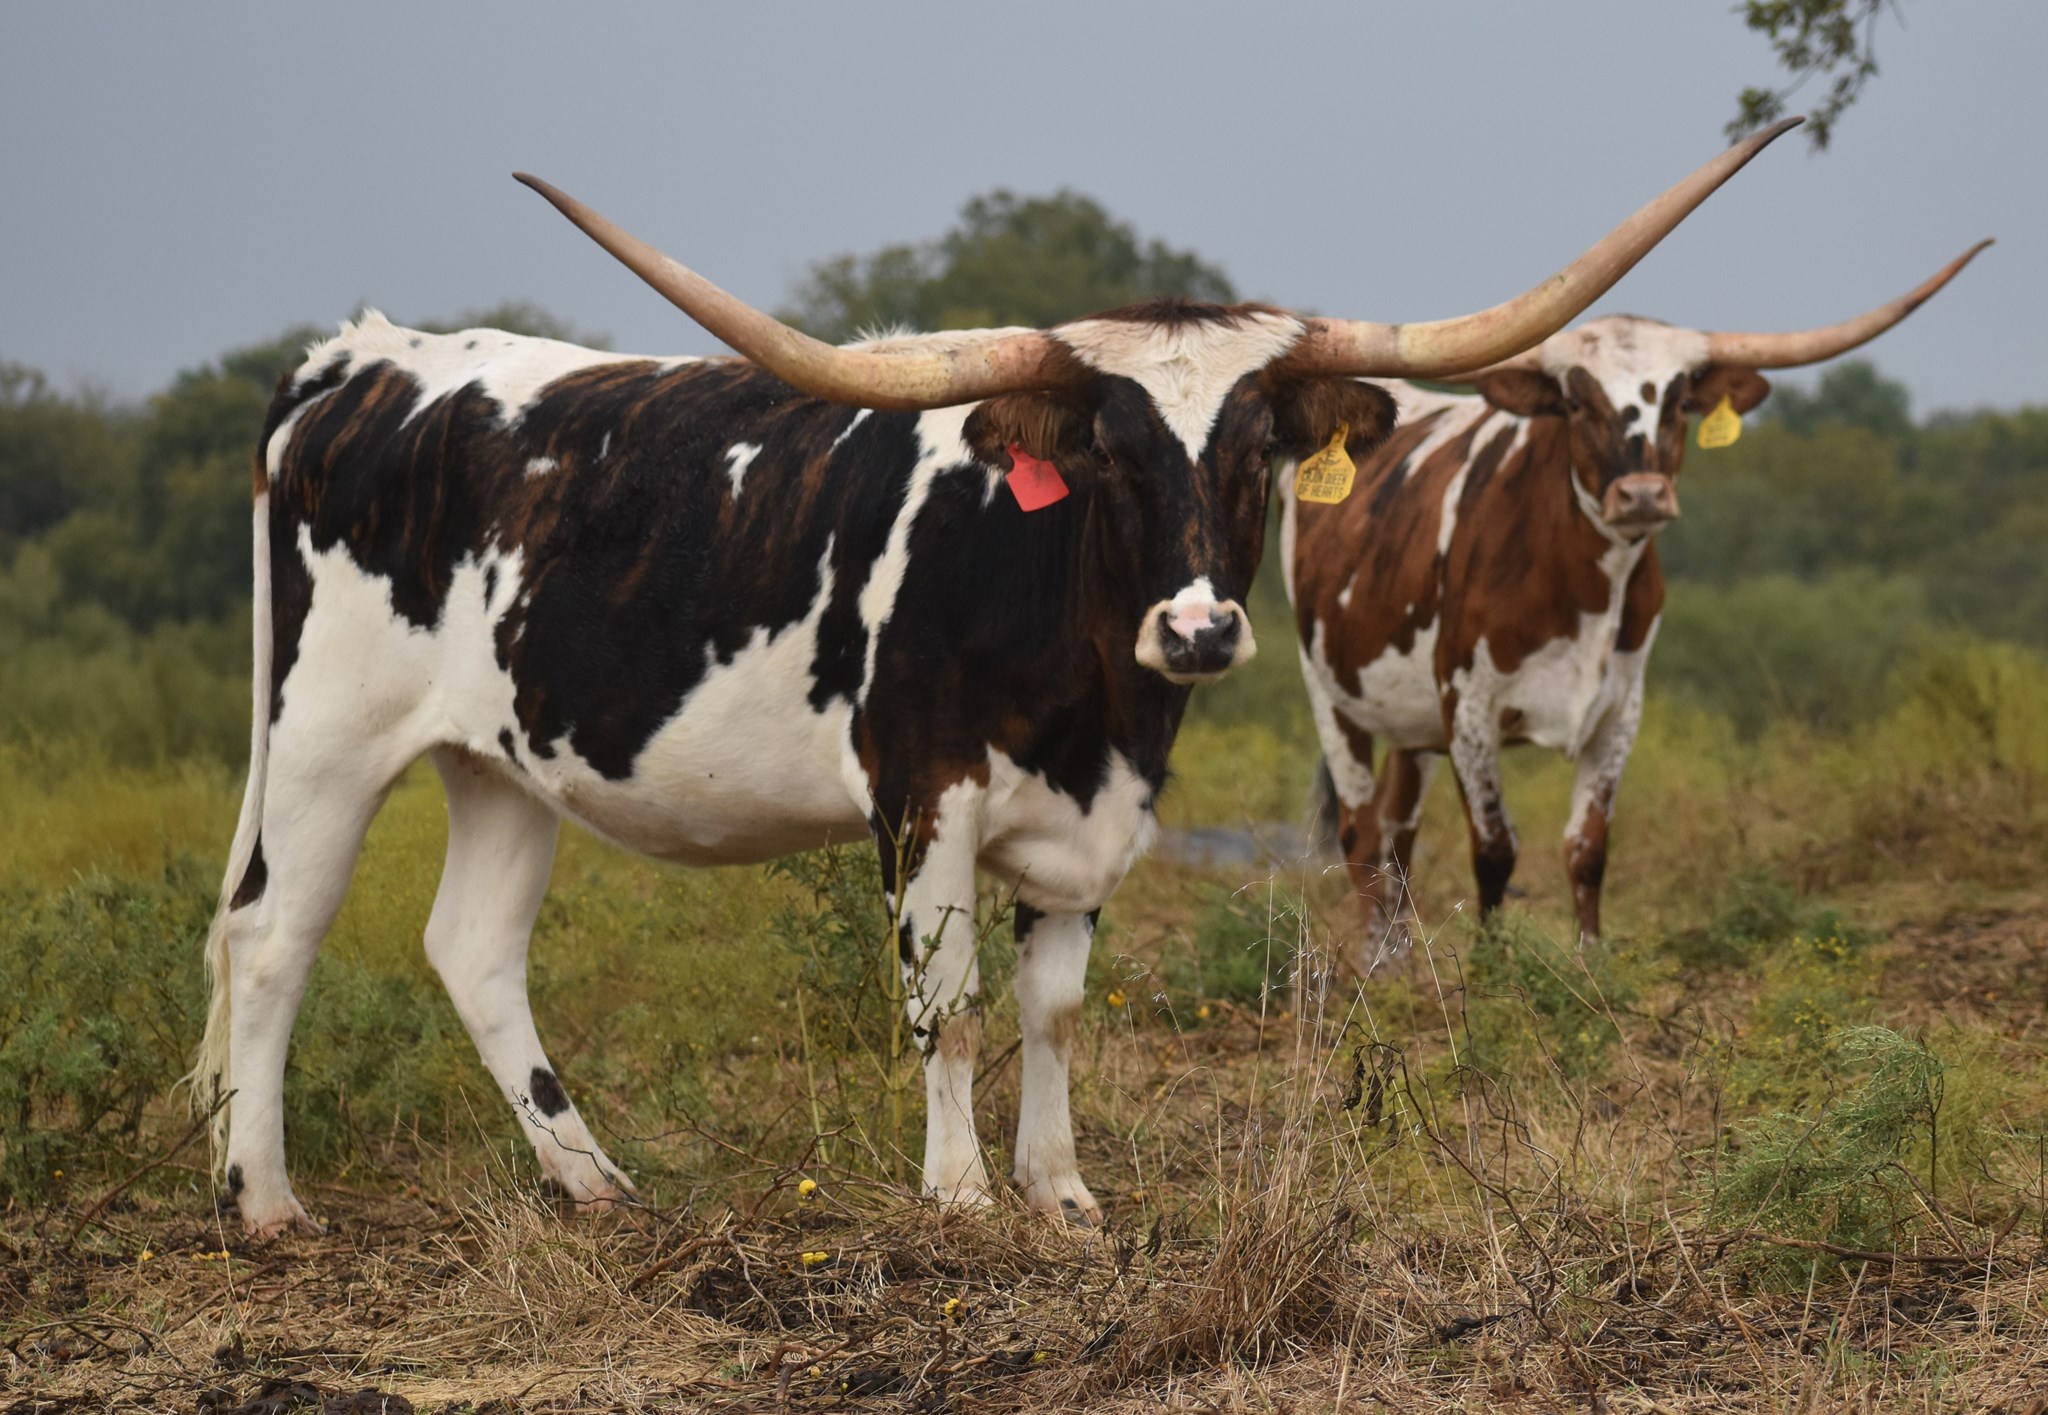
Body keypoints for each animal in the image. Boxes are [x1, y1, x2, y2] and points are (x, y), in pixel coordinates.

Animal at [190, 123, 1796, 1236]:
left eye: (1257, 450)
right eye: (1112, 449)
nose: (1198, 631)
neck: (1086, 685)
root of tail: (366, 358)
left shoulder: (1098, 816)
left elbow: (1057, 1009)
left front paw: (1061, 1187)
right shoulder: (924, 797)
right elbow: (950, 1001)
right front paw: (961, 1191)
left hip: (506, 757)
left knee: (470, 948)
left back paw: (592, 1180)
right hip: (324, 734)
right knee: (270, 935)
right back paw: (263, 1196)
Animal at [1285, 240, 1990, 959]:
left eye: (1678, 402)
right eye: (1575, 401)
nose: (1642, 494)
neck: (1585, 588)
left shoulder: (1620, 710)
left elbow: (1587, 847)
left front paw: (1590, 957)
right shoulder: (1469, 707)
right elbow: (1495, 848)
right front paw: (1492, 959)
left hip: (1411, 719)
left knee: (1398, 827)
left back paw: (1401, 953)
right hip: (1330, 693)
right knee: (1361, 829)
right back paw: (1377, 958)